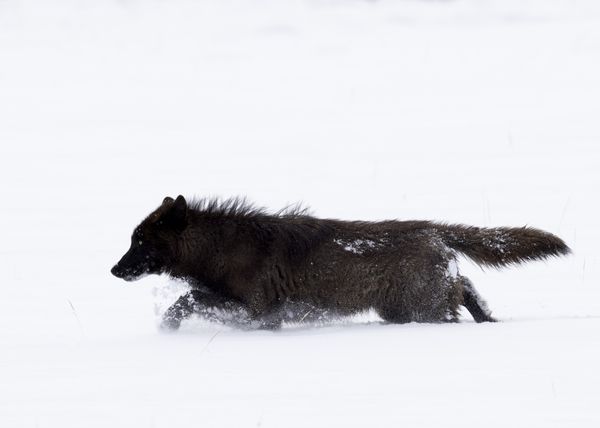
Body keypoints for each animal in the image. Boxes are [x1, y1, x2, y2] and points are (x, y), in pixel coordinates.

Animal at [110, 196, 568, 330]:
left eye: (139, 241)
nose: (114, 271)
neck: (221, 248)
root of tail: (435, 229)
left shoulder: (258, 313)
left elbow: (186, 300)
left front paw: (167, 329)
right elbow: (190, 298)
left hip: (420, 310)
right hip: (408, 307)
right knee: (468, 289)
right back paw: (489, 321)